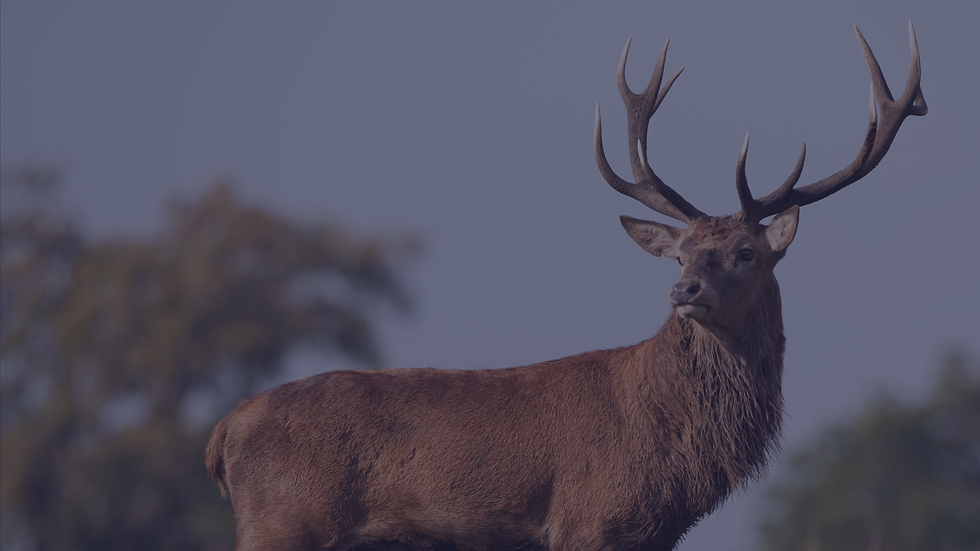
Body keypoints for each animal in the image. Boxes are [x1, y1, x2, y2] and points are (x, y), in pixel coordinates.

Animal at [206, 23, 926, 551]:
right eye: (681, 254)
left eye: (745, 251)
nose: (684, 292)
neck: (674, 448)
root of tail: (224, 431)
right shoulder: (591, 519)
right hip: (284, 523)